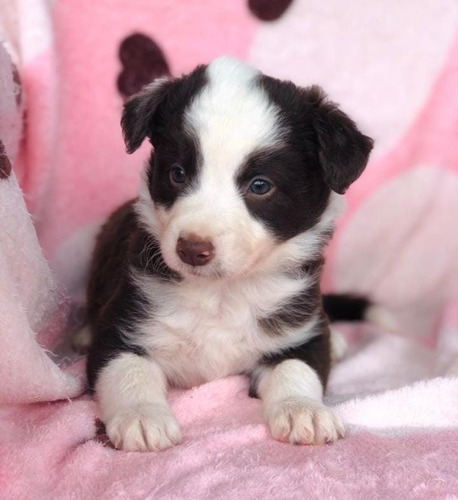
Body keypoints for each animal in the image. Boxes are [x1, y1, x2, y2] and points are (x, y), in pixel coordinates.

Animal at [84, 56, 374, 452]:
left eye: (260, 186)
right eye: (177, 174)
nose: (192, 249)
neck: (223, 292)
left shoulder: (302, 329)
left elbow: (298, 367)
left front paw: (303, 410)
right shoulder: (122, 324)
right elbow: (126, 369)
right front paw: (141, 416)